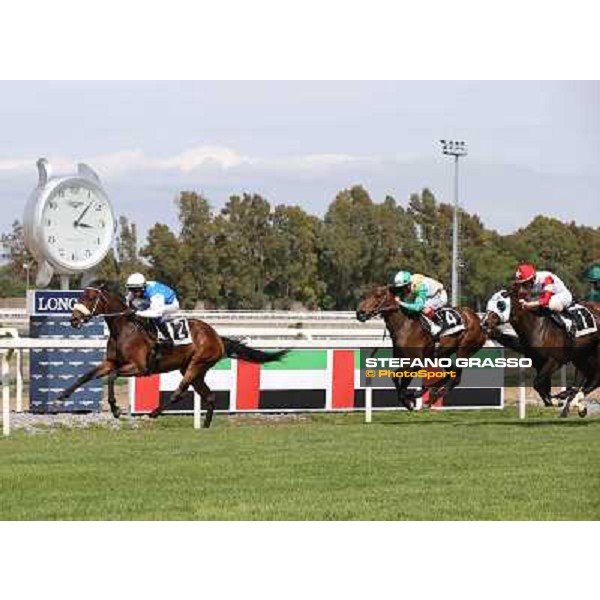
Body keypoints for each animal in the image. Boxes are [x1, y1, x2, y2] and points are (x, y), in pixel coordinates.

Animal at [56, 282, 288, 426]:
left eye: (90, 297)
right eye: (80, 295)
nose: (73, 320)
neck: (124, 328)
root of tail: (216, 336)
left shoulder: (139, 367)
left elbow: (113, 376)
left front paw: (115, 408)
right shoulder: (111, 362)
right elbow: (87, 375)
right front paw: (62, 396)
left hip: (196, 364)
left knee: (180, 392)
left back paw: (154, 413)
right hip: (193, 370)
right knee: (209, 396)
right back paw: (205, 425)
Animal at [354, 284, 486, 408]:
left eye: (378, 295)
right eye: (366, 295)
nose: (359, 312)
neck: (404, 325)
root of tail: (477, 319)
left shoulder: (416, 363)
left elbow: (401, 378)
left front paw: (408, 400)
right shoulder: (405, 361)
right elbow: (396, 377)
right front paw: (408, 398)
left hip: (464, 350)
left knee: (456, 378)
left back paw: (434, 395)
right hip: (443, 355)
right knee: (449, 374)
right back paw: (426, 392)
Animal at [480, 288, 600, 418]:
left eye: (500, 304)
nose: (484, 322)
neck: (537, 326)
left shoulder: (554, 361)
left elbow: (537, 383)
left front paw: (555, 400)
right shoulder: (538, 363)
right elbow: (542, 386)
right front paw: (554, 400)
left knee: (595, 378)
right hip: (582, 357)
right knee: (585, 378)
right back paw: (575, 405)